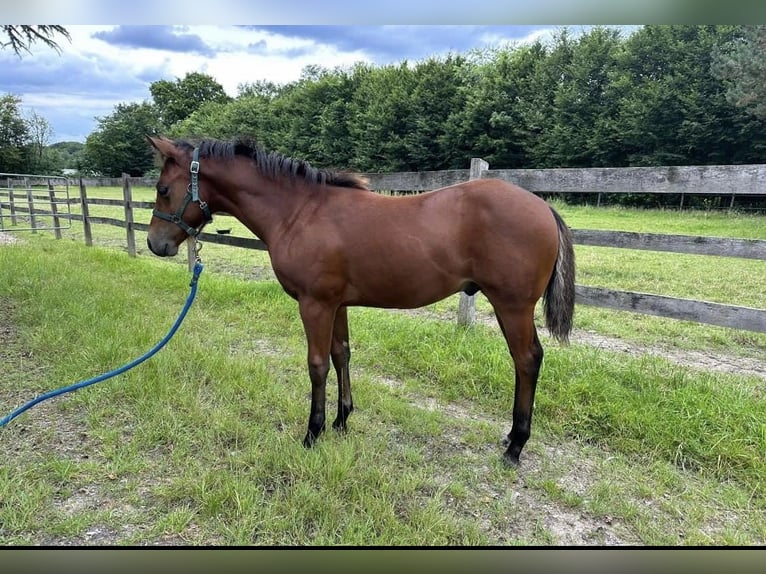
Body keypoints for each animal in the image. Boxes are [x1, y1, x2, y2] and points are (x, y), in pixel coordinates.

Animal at [146, 137, 576, 470]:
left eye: (163, 189)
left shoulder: (315, 304)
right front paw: (341, 421)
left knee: (527, 360)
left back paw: (516, 446)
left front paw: (313, 432)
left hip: (512, 306)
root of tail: (542, 207)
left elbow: (317, 365)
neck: (299, 212)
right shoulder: (337, 304)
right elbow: (342, 354)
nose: (155, 244)